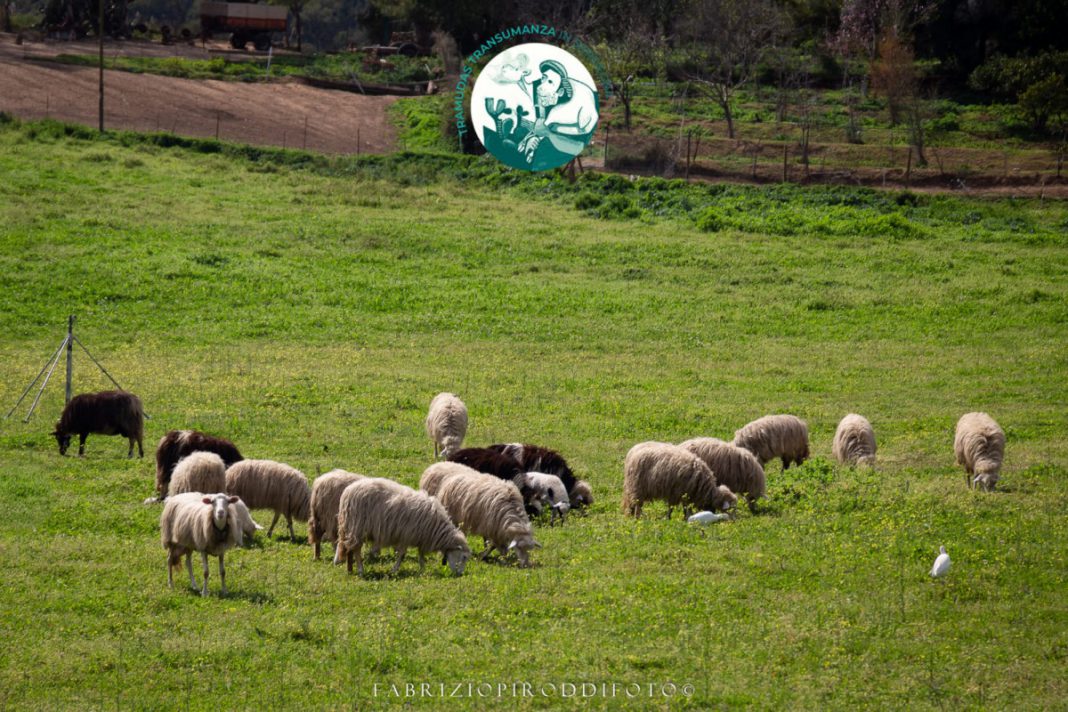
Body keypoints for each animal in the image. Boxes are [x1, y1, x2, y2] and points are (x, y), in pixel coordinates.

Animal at [333, 476, 467, 576]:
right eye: (464, 557)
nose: (460, 574)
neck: (436, 529)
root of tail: (347, 491)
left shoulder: (420, 537)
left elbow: (421, 555)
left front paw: (422, 569)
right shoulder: (406, 536)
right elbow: (402, 555)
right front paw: (394, 570)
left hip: (350, 528)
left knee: (349, 548)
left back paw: (350, 569)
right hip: (357, 527)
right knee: (356, 550)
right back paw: (360, 570)